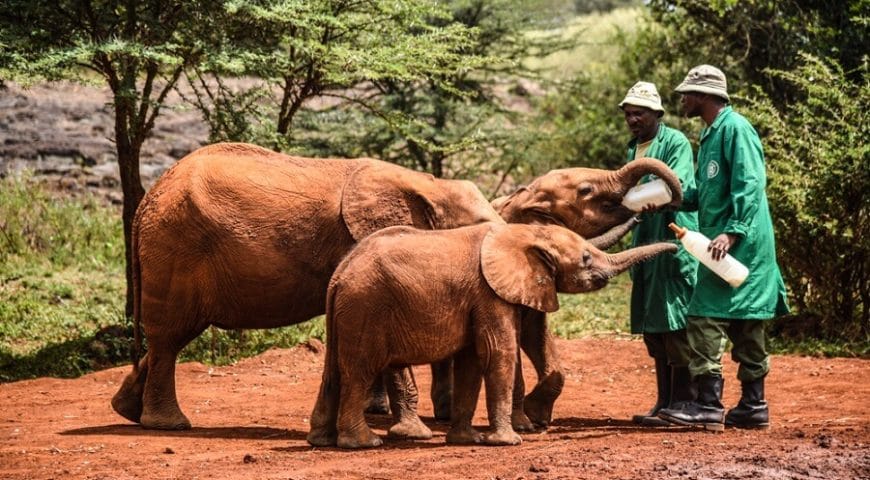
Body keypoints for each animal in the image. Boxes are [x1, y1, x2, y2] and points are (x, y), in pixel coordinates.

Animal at [110, 142, 508, 432]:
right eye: (480, 225)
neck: (429, 184)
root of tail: (146, 201)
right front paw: (406, 428)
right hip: (176, 250)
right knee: (171, 337)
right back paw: (169, 425)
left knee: (168, 337)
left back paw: (127, 410)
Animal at [308, 223, 680, 448]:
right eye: (586, 258)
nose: (678, 246)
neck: (526, 233)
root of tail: (339, 275)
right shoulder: (489, 293)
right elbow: (497, 353)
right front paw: (508, 441)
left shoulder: (480, 298)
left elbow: (472, 361)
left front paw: (467, 440)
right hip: (366, 306)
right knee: (359, 370)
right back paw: (364, 443)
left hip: (350, 311)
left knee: (334, 372)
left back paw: (321, 440)